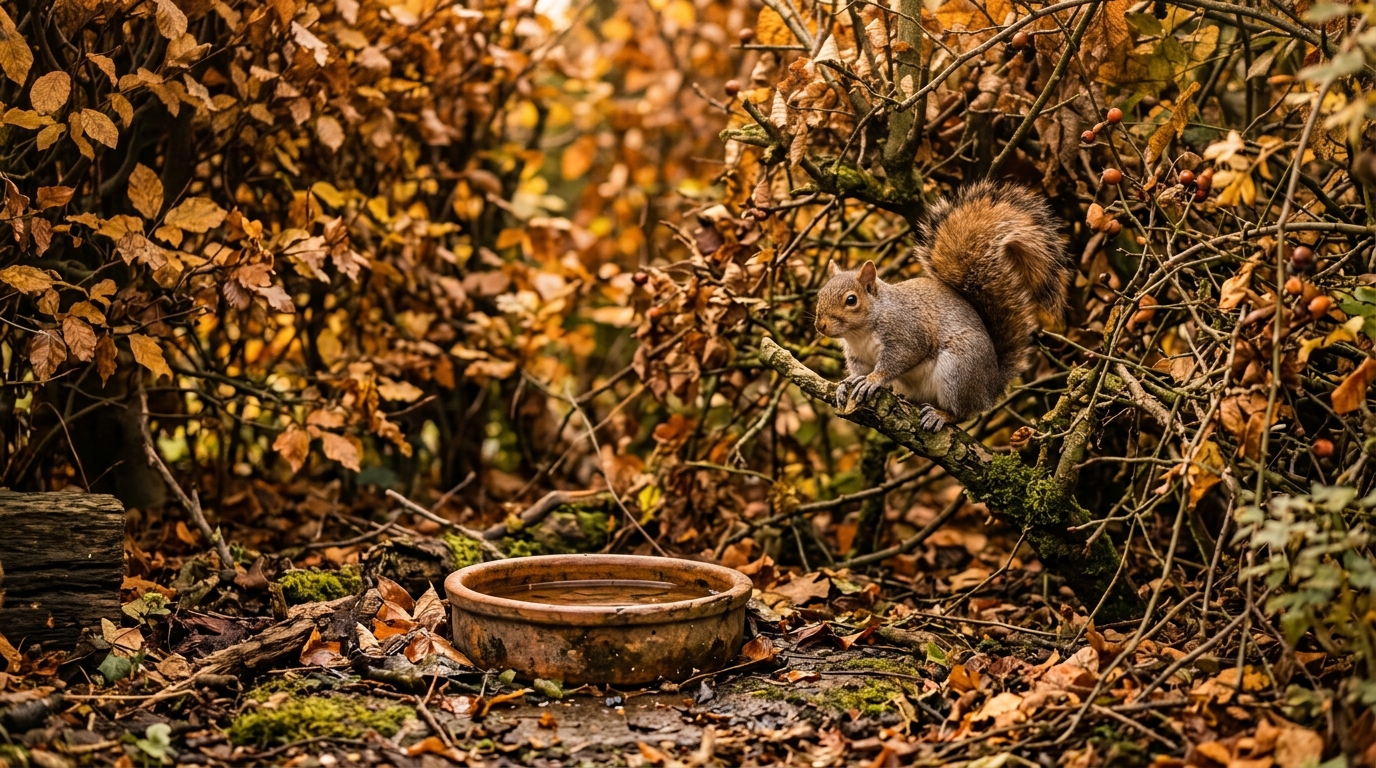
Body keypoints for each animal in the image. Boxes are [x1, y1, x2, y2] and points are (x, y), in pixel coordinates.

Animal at [814, 181, 1070, 430]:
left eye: (851, 300)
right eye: (820, 294)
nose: (820, 326)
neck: (860, 333)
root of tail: (990, 387)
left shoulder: (906, 332)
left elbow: (900, 358)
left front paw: (872, 380)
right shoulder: (858, 357)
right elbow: (858, 371)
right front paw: (846, 383)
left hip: (958, 371)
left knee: (963, 413)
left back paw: (941, 415)